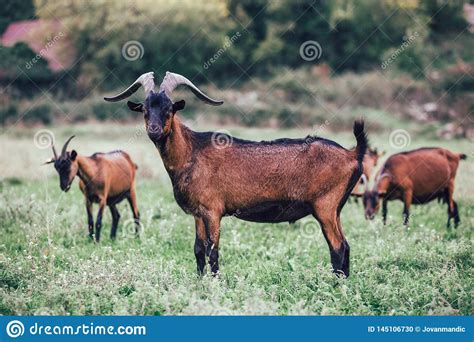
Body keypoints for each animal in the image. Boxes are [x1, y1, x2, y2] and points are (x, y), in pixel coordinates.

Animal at [105, 72, 368, 278]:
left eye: (169, 109)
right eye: (145, 109)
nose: (154, 130)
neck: (192, 151)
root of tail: (353, 153)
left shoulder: (213, 211)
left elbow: (213, 252)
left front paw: (215, 284)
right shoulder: (198, 213)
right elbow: (198, 250)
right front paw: (199, 282)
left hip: (325, 206)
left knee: (338, 247)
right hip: (335, 210)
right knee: (346, 246)